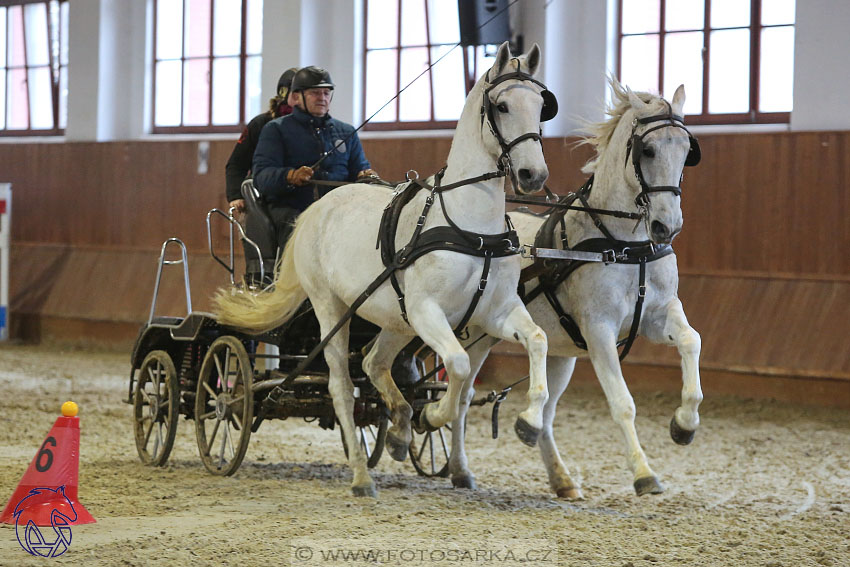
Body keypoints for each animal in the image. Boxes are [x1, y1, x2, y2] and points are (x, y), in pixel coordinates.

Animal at [215, 43, 552, 496]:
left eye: (541, 105)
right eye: (501, 106)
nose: (534, 175)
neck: (470, 229)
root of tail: (318, 208)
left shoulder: (495, 312)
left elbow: (537, 341)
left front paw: (528, 423)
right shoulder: (430, 311)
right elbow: (459, 366)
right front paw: (433, 416)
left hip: (397, 320)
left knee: (374, 363)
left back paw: (398, 430)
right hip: (333, 310)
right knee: (342, 387)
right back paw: (362, 476)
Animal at [448, 79, 700, 496]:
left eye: (686, 151)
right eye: (647, 150)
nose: (668, 226)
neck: (625, 245)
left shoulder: (658, 315)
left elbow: (691, 341)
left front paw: (684, 423)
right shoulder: (599, 329)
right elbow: (623, 403)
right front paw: (644, 473)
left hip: (557, 351)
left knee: (545, 412)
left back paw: (556, 471)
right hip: (475, 334)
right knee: (460, 394)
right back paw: (453, 460)